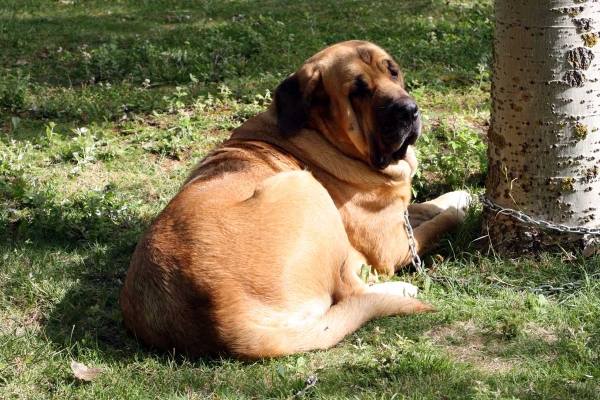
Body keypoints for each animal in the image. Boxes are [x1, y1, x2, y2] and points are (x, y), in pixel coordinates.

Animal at [120, 40, 468, 360]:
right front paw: (460, 210)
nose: (408, 110)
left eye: (392, 71)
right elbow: (439, 223)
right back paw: (401, 288)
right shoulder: (392, 246)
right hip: (305, 186)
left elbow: (427, 206)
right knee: (350, 289)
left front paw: (460, 196)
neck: (321, 133)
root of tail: (222, 320)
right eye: (358, 91)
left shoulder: (397, 215)